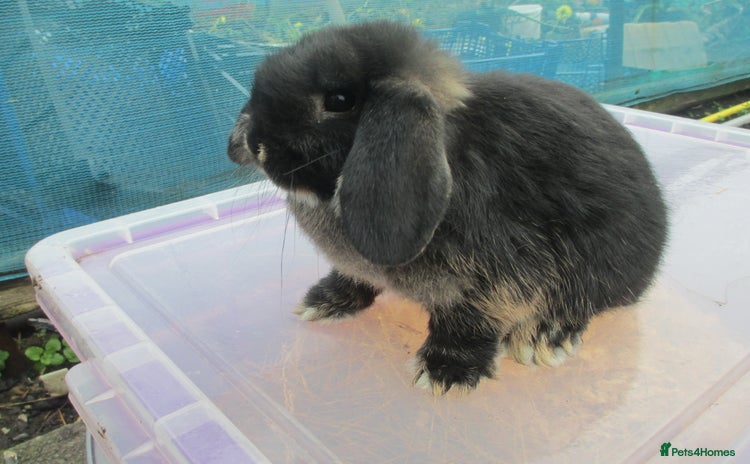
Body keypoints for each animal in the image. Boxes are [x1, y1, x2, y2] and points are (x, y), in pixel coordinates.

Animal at [228, 21, 667, 394]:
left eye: (339, 100)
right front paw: (324, 300)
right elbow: (354, 278)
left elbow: (472, 318)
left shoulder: (499, 276)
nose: (255, 144)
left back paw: (544, 335)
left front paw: (445, 372)